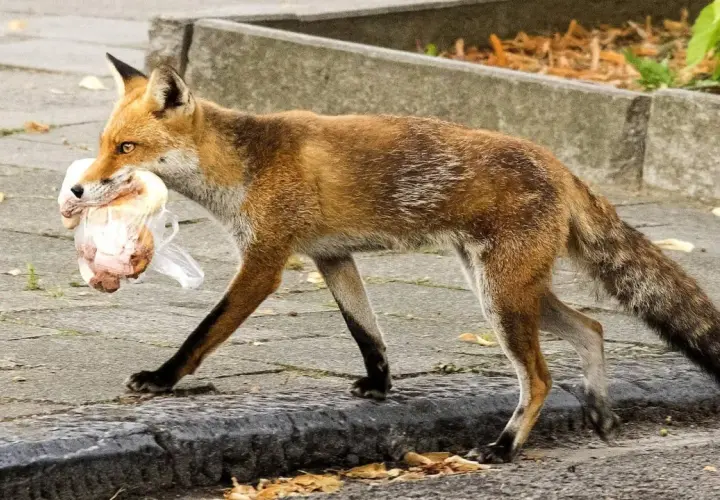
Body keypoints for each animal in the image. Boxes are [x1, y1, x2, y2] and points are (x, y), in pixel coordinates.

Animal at [68, 53, 720, 463]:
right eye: (102, 144)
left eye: (126, 148)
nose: (77, 189)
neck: (244, 166)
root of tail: (557, 162)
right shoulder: (333, 258)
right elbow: (367, 333)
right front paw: (380, 385)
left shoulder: (265, 263)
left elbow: (203, 333)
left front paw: (162, 379)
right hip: (509, 290)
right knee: (591, 327)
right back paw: (601, 412)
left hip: (502, 298)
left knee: (539, 376)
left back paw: (506, 447)